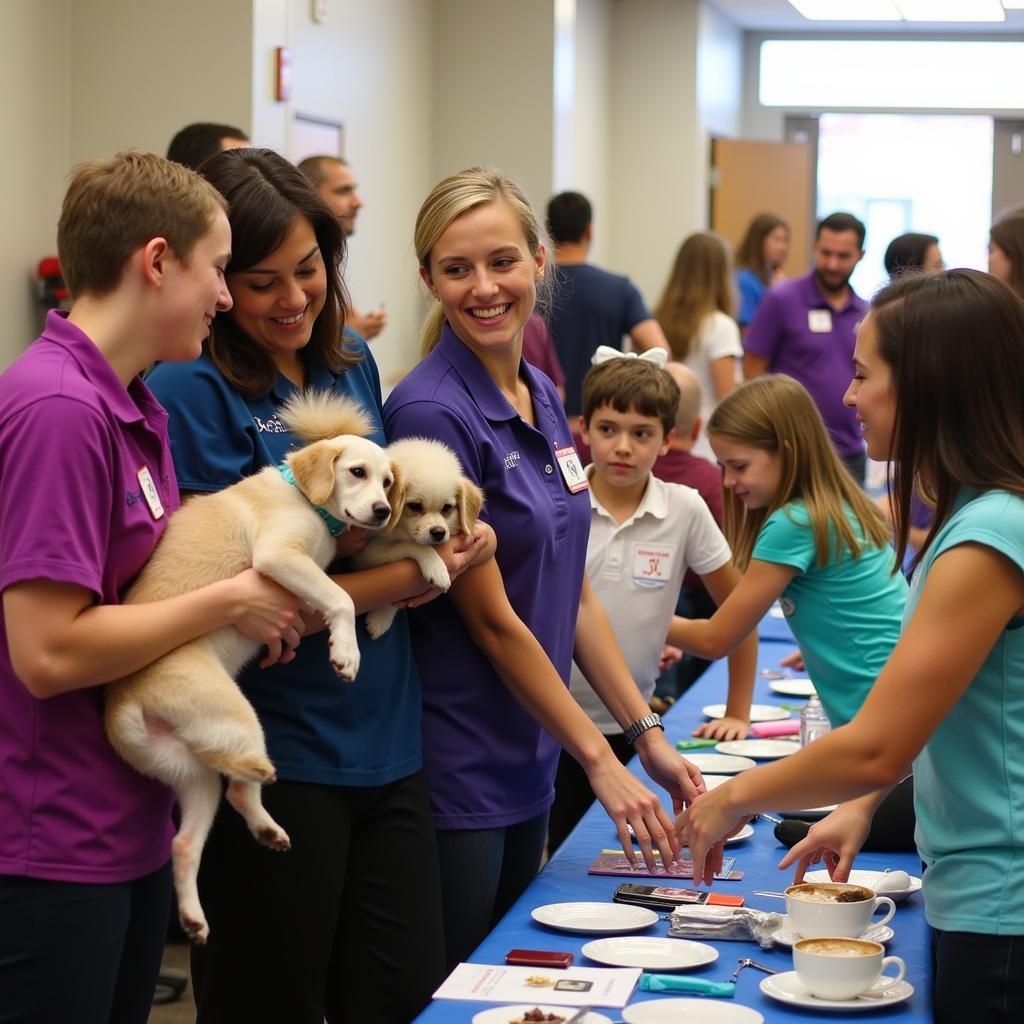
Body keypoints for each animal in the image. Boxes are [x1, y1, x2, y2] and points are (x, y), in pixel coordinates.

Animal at [105, 391, 397, 942]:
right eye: (356, 472)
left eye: (388, 481)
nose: (383, 510)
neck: (304, 499)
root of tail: (124, 704)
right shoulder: (279, 556)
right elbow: (342, 599)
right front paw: (346, 654)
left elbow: (333, 596)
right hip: (235, 719)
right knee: (243, 786)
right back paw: (262, 783)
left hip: (189, 774)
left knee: (188, 840)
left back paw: (207, 902)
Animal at [352, 436, 483, 634]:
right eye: (414, 506)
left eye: (447, 508)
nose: (439, 533)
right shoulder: (365, 553)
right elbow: (414, 546)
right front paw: (437, 569)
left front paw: (380, 618)